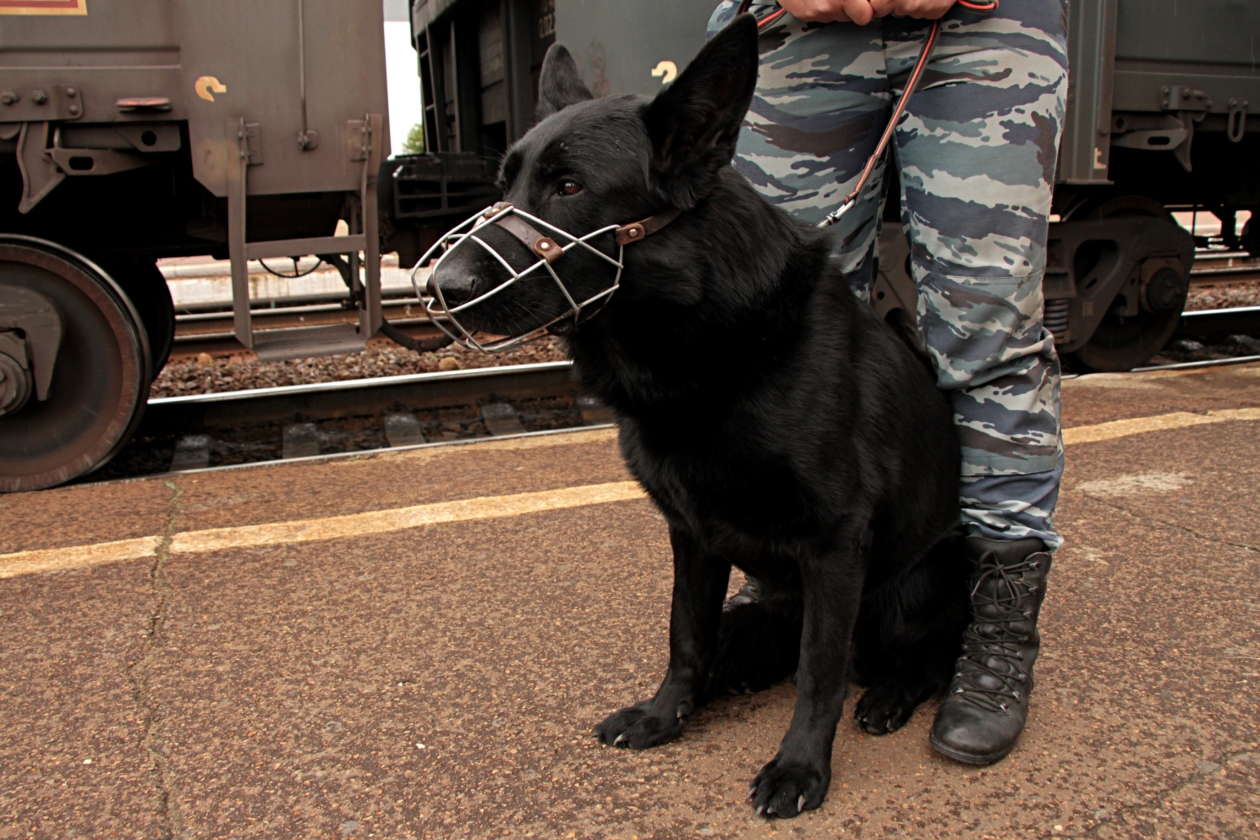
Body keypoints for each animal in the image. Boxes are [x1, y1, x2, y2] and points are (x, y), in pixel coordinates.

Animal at [428, 14, 967, 821]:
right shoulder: (692, 534)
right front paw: (666, 715)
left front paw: (799, 768)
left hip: (915, 584)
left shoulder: (835, 546)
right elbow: (686, 634)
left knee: (923, 658)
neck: (708, 348)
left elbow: (820, 672)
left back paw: (892, 695)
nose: (441, 286)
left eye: (568, 187)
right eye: (506, 186)